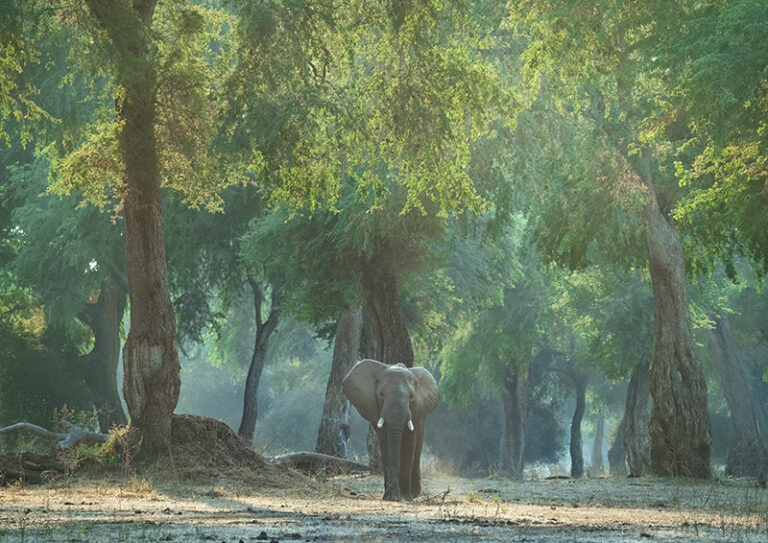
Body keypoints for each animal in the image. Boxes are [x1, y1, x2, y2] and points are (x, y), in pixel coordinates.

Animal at [342, 359, 440, 501]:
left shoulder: (415, 411)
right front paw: (391, 496)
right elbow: (385, 442)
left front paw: (406, 497)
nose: (394, 495)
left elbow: (409, 442)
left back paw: (414, 492)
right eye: (381, 395)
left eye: (411, 397)